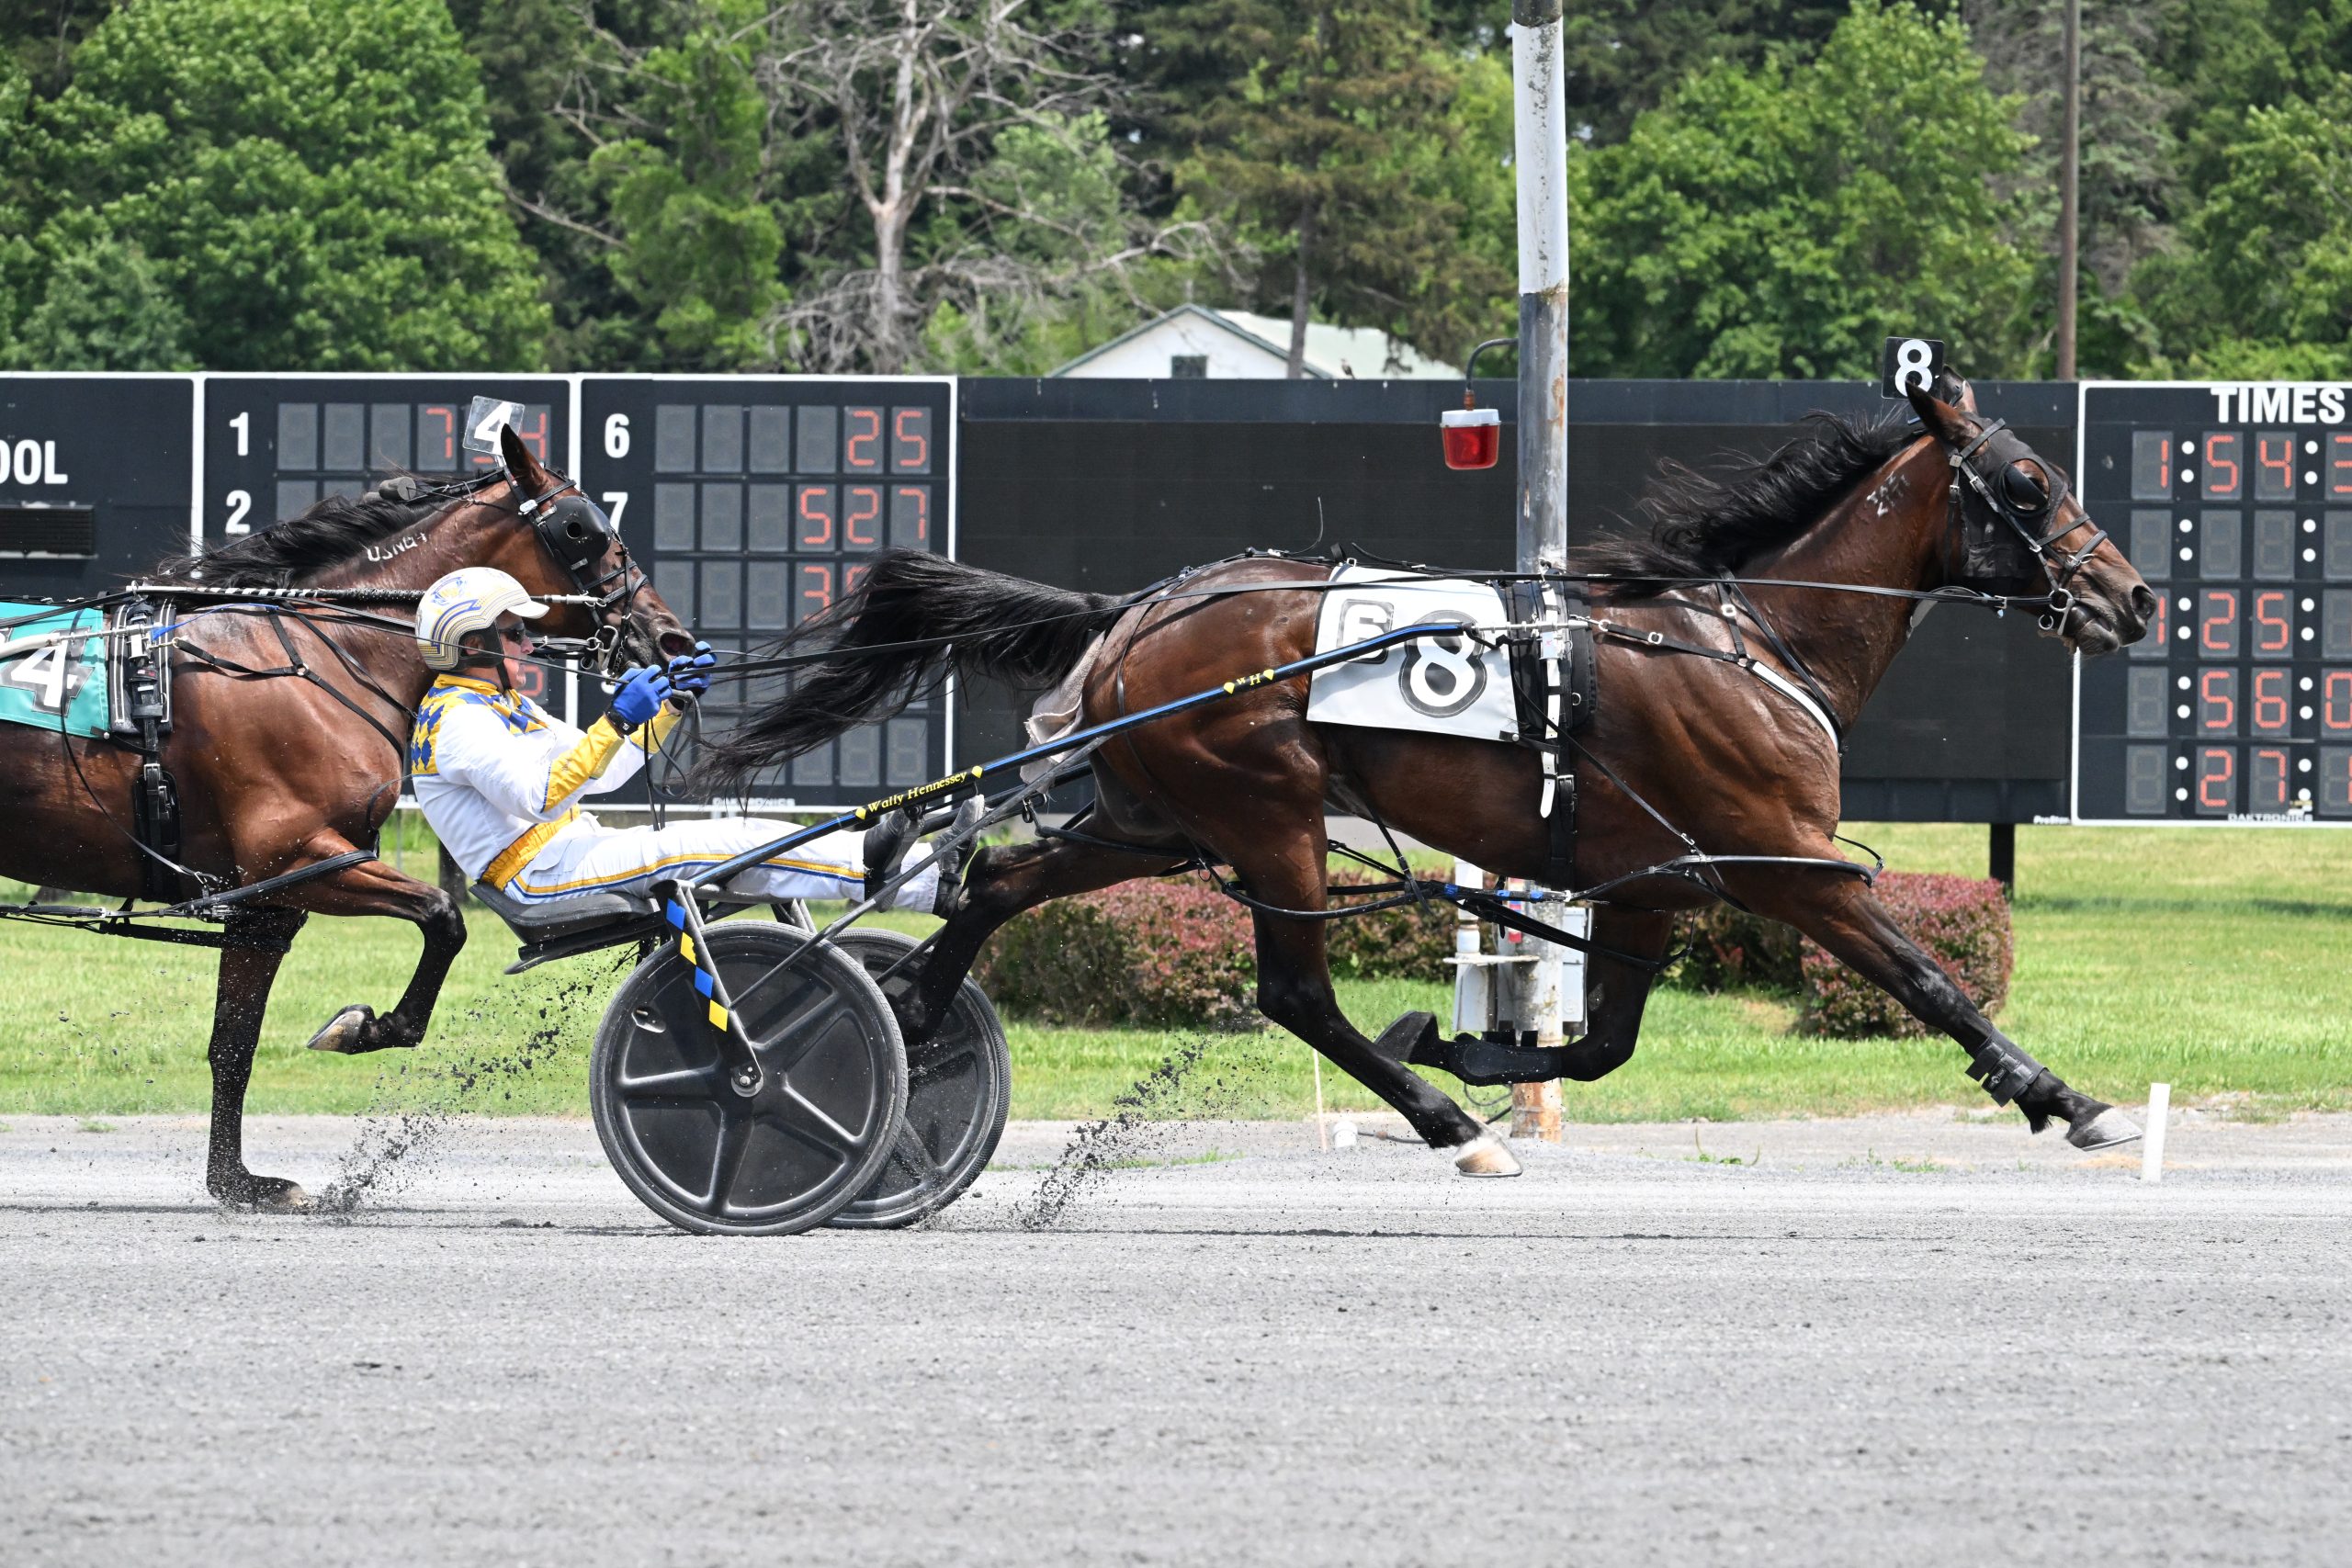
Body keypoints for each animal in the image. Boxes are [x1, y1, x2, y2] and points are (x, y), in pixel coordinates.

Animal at [0, 426, 689, 1207]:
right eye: (583, 530)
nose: (669, 639)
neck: (311, 656)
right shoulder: (300, 858)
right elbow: (443, 918)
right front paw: (367, 1027)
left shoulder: (267, 900)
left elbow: (233, 1041)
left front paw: (237, 1180)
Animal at [699, 379, 2157, 1171]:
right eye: (2028, 481)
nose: (2135, 598)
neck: (1751, 641)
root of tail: (1137, 611)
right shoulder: (1782, 861)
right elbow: (1927, 978)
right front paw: (2069, 1099)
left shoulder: (1648, 885)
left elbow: (1607, 1042)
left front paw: (1472, 1034)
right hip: (1266, 812)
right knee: (1294, 991)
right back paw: (1455, 1129)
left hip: (1152, 819)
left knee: (999, 879)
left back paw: (913, 1015)